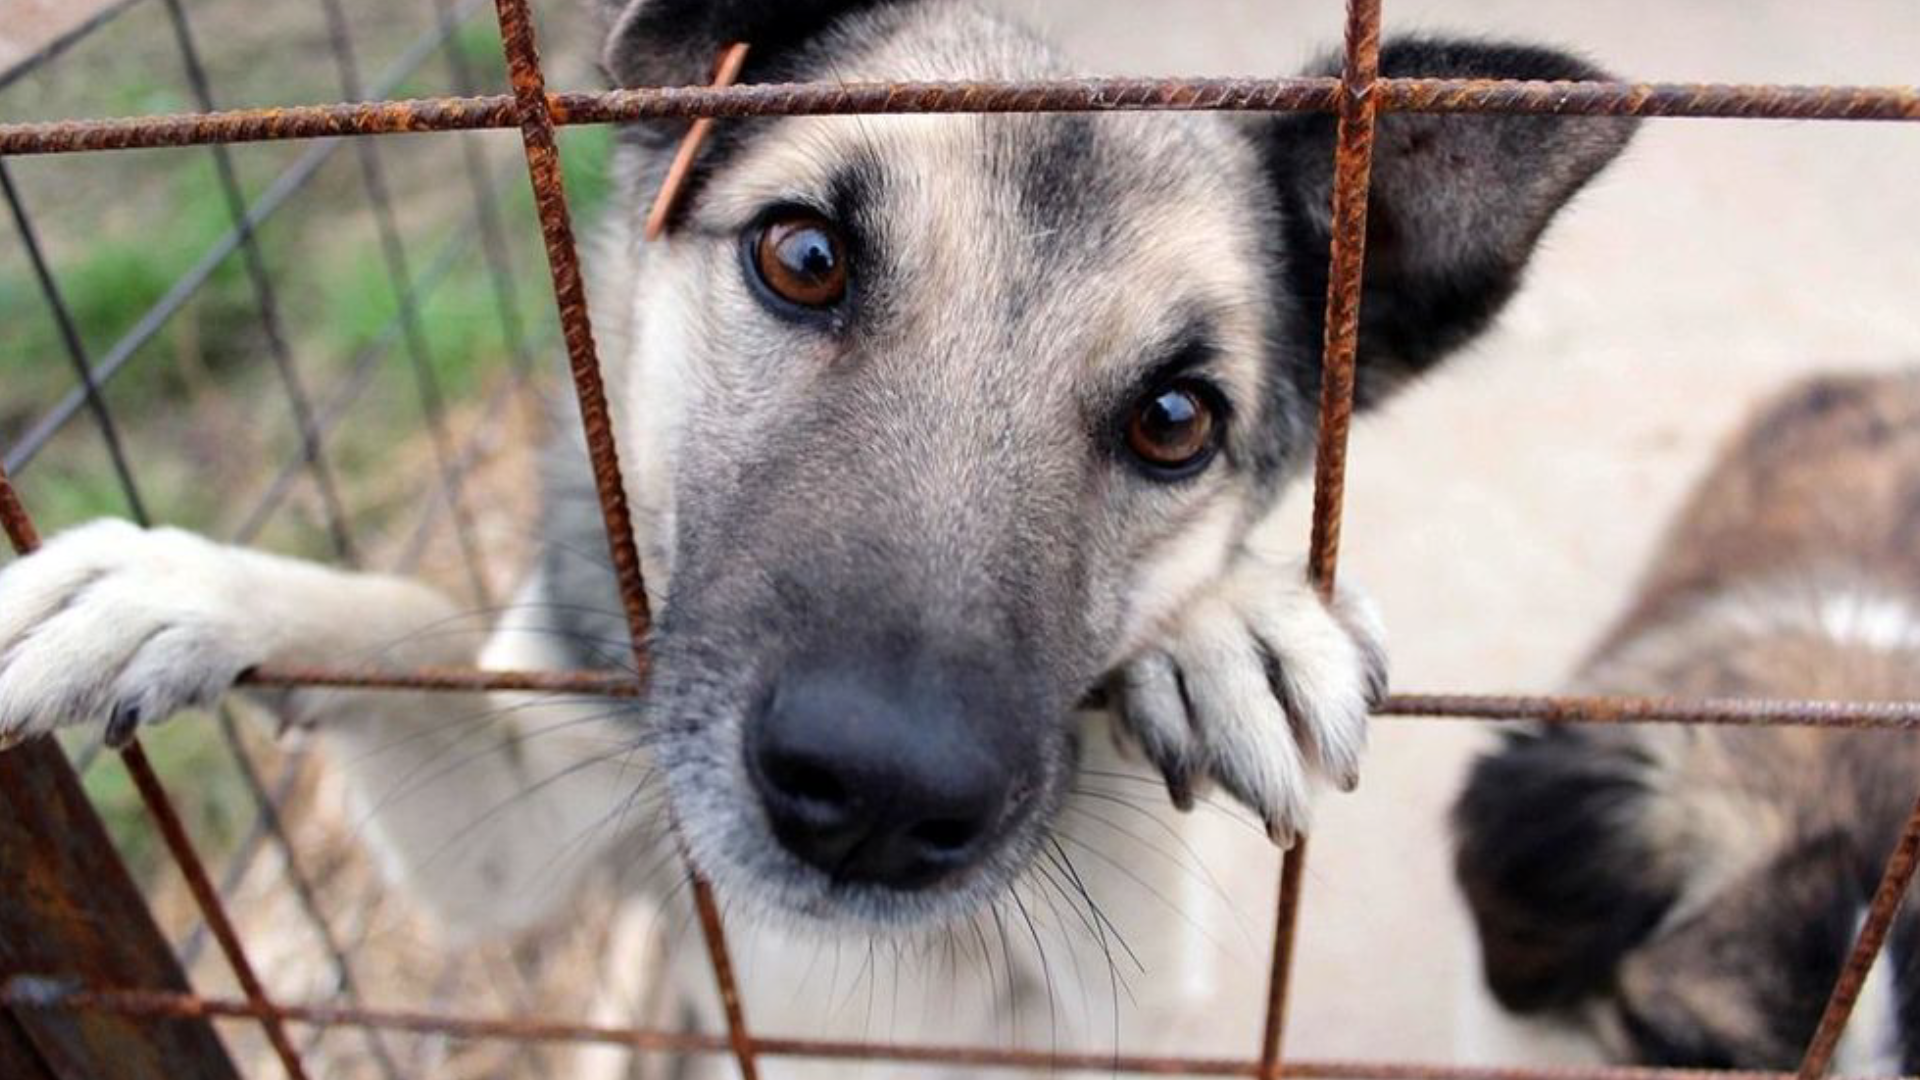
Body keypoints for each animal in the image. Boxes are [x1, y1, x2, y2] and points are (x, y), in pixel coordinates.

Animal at [0, 4, 1628, 1068]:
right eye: (802, 256)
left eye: (1177, 418)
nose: (876, 798)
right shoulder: (515, 852)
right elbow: (402, 617)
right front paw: (177, 582)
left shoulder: (1092, 1007)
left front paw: (1226, 621)